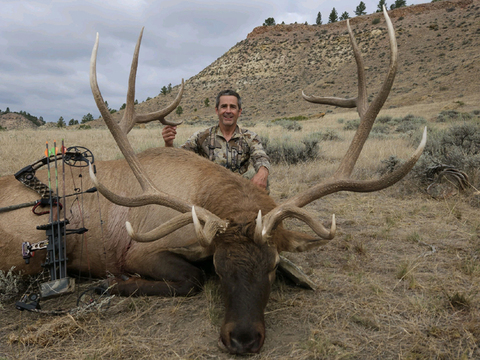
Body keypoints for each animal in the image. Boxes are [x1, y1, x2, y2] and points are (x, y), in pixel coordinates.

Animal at [1, 7, 426, 356]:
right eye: (219, 268)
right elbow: (190, 279)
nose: (242, 339)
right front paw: (111, 283)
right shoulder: (139, 248)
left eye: (272, 266)